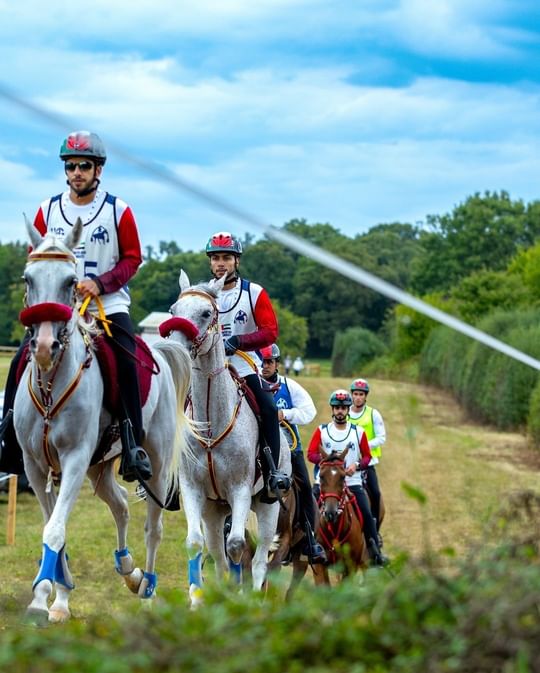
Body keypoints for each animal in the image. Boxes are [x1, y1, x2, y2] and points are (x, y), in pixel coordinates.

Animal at [13, 218, 192, 624]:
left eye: (70, 281)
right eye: (28, 278)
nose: (44, 346)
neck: (51, 387)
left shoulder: (75, 459)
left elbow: (54, 530)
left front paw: (38, 600)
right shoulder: (36, 466)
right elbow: (55, 527)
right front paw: (57, 598)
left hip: (156, 466)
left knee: (153, 528)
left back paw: (147, 589)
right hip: (100, 469)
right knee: (121, 504)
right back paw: (128, 572)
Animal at [163, 270, 292, 608]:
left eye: (206, 313)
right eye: (173, 310)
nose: (175, 346)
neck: (212, 422)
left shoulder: (240, 490)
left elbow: (236, 546)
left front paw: (240, 597)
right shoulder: (193, 490)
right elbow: (196, 544)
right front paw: (197, 601)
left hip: (267, 506)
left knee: (258, 558)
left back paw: (255, 597)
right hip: (214, 509)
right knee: (217, 554)